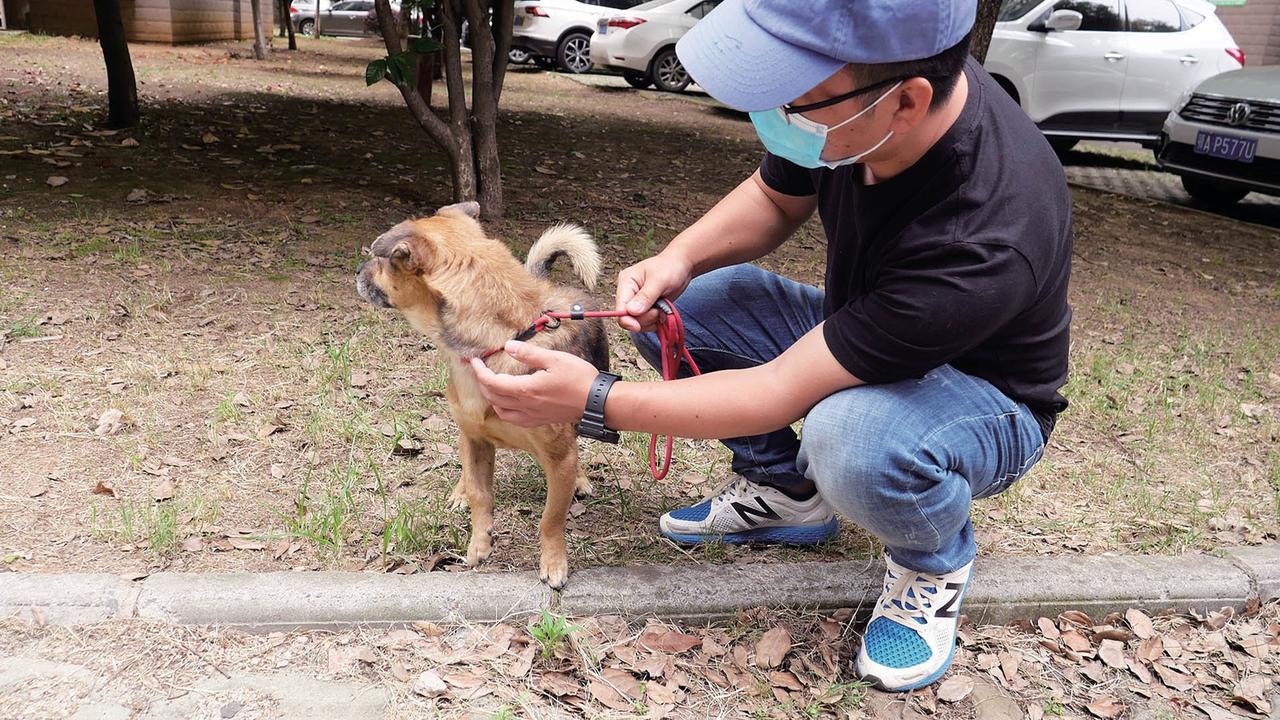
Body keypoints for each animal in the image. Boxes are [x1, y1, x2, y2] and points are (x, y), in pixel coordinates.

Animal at [353, 198, 606, 586]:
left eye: (383, 261)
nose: (357, 269)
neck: (498, 342)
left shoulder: (558, 456)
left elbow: (551, 518)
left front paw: (553, 561)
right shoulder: (474, 438)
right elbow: (479, 495)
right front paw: (479, 543)